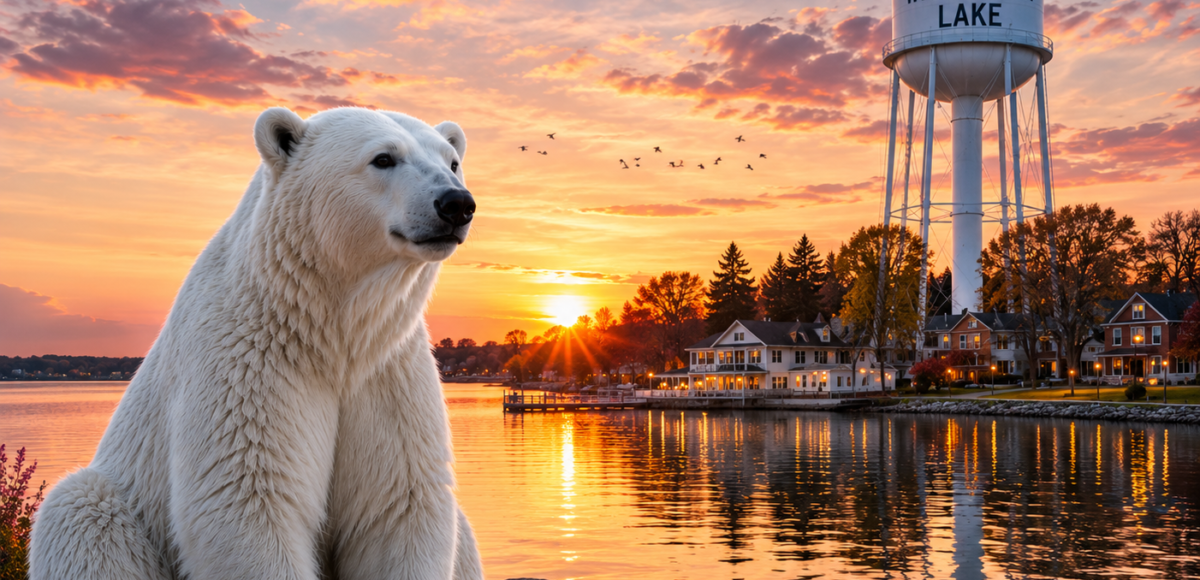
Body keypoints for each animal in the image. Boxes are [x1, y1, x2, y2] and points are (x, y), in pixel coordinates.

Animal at [28, 106, 484, 580]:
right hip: (119, 509)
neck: (329, 330)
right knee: (83, 514)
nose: (456, 204)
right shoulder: (246, 360)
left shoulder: (389, 371)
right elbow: (247, 496)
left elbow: (399, 504)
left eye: (452, 161)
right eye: (383, 158)